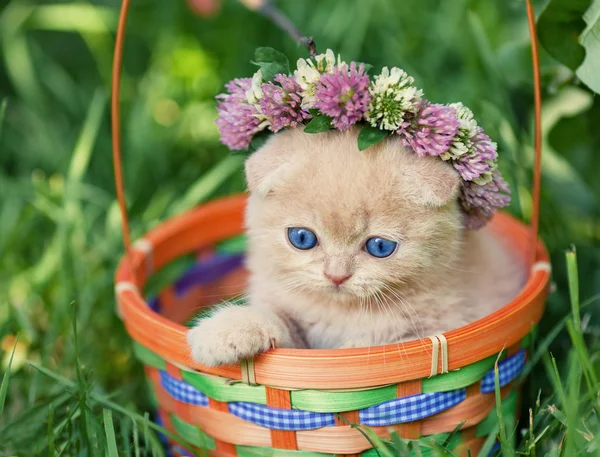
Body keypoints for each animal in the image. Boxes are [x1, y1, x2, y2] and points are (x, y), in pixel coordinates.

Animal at [189, 126, 524, 366]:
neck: (341, 313)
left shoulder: (447, 324)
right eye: (302, 238)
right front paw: (227, 331)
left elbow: (374, 346)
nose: (336, 275)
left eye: (379, 246)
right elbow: (279, 325)